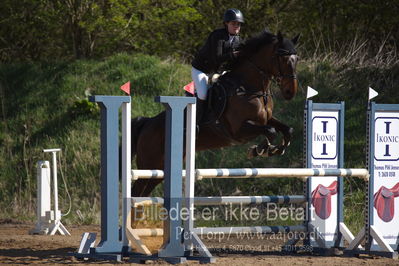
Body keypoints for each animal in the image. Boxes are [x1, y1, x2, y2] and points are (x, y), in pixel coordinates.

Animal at [131, 31, 300, 197]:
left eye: (296, 59)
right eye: (282, 58)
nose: (290, 92)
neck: (250, 88)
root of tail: (147, 123)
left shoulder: (266, 119)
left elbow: (287, 130)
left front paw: (276, 149)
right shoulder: (238, 130)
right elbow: (270, 131)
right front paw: (258, 150)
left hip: (159, 170)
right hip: (149, 164)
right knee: (136, 190)